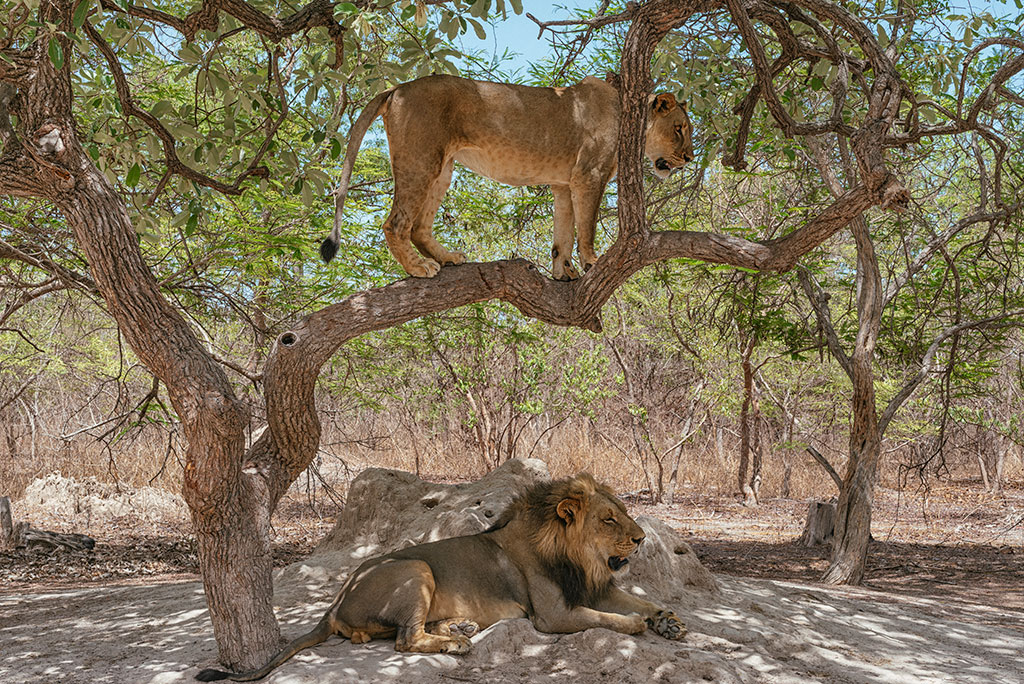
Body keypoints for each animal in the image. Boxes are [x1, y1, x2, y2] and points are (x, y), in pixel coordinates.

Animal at [194, 473, 684, 679]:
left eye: (622, 512)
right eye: (608, 519)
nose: (642, 538)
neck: (579, 561)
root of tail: (334, 602)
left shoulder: (595, 588)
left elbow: (643, 601)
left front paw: (669, 621)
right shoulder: (553, 615)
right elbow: (604, 618)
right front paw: (636, 625)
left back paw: (458, 626)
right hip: (415, 567)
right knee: (404, 639)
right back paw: (456, 642)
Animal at [319, 73, 696, 278]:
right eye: (679, 128)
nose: (690, 158)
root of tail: (397, 88)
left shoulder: (563, 184)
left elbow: (563, 235)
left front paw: (564, 273)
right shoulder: (590, 176)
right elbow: (585, 228)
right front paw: (592, 261)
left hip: (443, 167)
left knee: (418, 227)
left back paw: (448, 258)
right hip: (421, 160)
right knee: (396, 223)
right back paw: (419, 268)